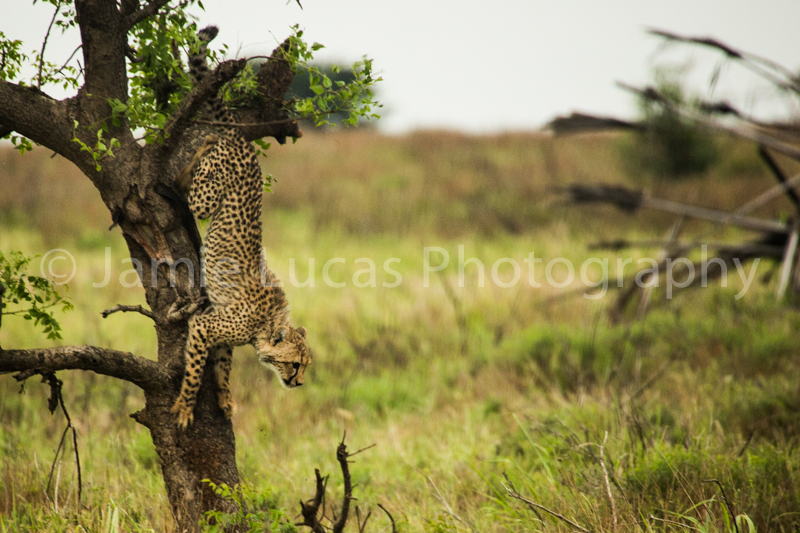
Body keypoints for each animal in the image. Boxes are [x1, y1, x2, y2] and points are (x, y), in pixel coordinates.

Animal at [169, 25, 311, 429]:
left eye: (307, 365)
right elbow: (194, 372)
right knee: (186, 178)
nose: (298, 383)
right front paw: (185, 408)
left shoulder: (218, 335)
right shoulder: (204, 326)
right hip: (206, 197)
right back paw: (202, 145)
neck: (265, 327)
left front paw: (225, 399)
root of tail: (240, 137)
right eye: (295, 364)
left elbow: (222, 367)